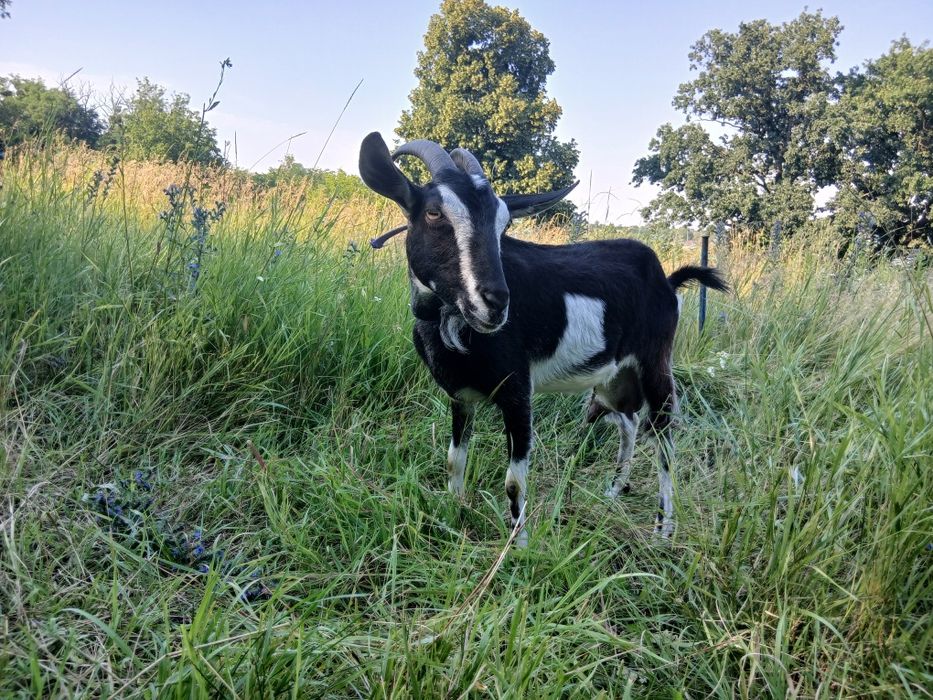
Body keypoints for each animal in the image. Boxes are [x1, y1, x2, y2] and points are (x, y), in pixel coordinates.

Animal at [359, 132, 727, 546]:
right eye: (435, 213)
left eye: (504, 225)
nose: (496, 302)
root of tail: (667, 278)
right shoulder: (460, 396)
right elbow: (454, 461)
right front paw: (453, 513)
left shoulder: (518, 391)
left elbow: (514, 482)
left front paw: (518, 547)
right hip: (614, 376)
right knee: (629, 422)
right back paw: (614, 490)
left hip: (655, 361)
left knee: (664, 436)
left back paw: (663, 529)